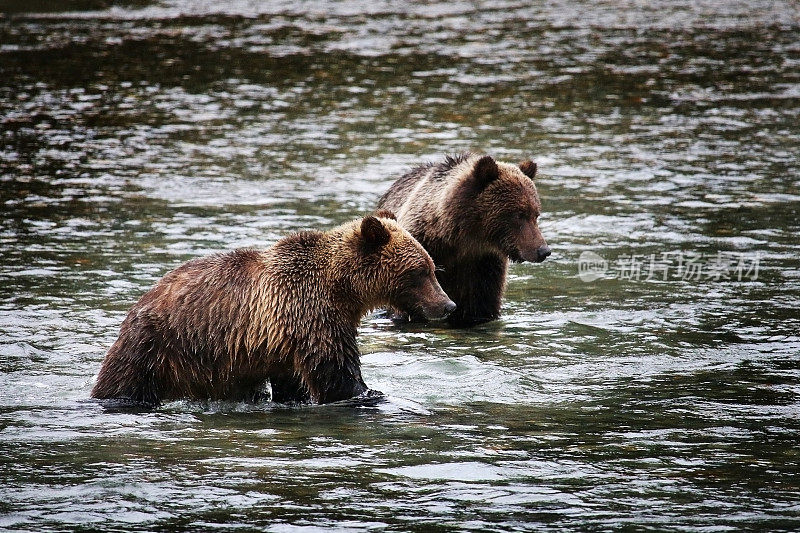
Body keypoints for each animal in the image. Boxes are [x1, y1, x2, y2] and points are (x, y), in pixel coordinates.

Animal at [90, 214, 454, 406]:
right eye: (419, 272)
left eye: (433, 268)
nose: (448, 305)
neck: (343, 289)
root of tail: (140, 301)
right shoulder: (309, 311)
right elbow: (334, 368)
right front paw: (369, 393)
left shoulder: (280, 342)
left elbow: (294, 380)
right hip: (158, 344)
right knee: (125, 380)